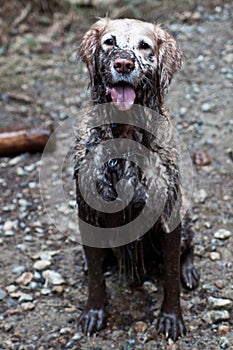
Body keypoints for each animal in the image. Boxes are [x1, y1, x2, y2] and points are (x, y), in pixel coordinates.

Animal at [74, 17, 198, 340]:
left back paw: (190, 270)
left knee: (187, 250)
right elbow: (96, 277)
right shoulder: (88, 212)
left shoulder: (168, 212)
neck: (125, 133)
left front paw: (171, 317)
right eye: (109, 42)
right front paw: (94, 311)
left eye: (144, 46)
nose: (123, 64)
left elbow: (170, 275)